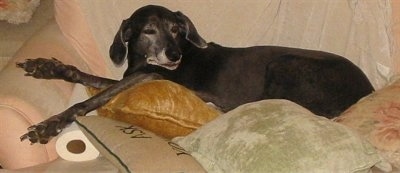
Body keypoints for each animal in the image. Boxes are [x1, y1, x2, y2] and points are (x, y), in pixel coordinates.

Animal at [18, 4, 376, 144]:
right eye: (148, 30)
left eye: (177, 29)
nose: (174, 55)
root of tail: (366, 91)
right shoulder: (134, 75)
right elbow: (93, 78)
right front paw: (49, 67)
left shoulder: (150, 76)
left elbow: (94, 98)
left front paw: (50, 125)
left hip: (283, 64)